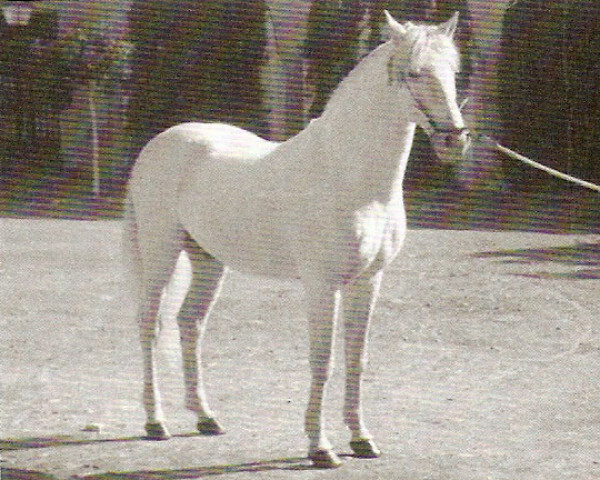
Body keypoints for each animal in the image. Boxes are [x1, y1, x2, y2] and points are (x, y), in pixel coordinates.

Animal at [124, 12, 472, 468]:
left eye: (453, 72)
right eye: (414, 72)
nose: (455, 140)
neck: (349, 175)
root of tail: (159, 144)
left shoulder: (368, 281)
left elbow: (356, 358)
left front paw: (362, 440)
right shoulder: (323, 285)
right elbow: (322, 360)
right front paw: (320, 447)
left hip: (208, 260)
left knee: (190, 324)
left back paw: (206, 418)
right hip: (160, 254)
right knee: (150, 326)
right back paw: (155, 423)